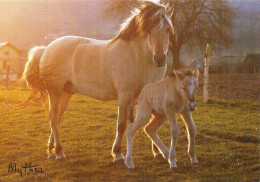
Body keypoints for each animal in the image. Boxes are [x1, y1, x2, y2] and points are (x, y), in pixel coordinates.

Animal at [22, 1, 174, 161]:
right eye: (148, 30)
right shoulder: (124, 97)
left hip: (65, 94)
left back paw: (52, 150)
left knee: (56, 119)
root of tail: (46, 48)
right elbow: (121, 124)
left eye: (168, 30)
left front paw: (157, 151)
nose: (160, 58)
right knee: (52, 119)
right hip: (54, 92)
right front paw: (118, 153)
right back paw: (59, 152)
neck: (136, 57)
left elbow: (151, 122)